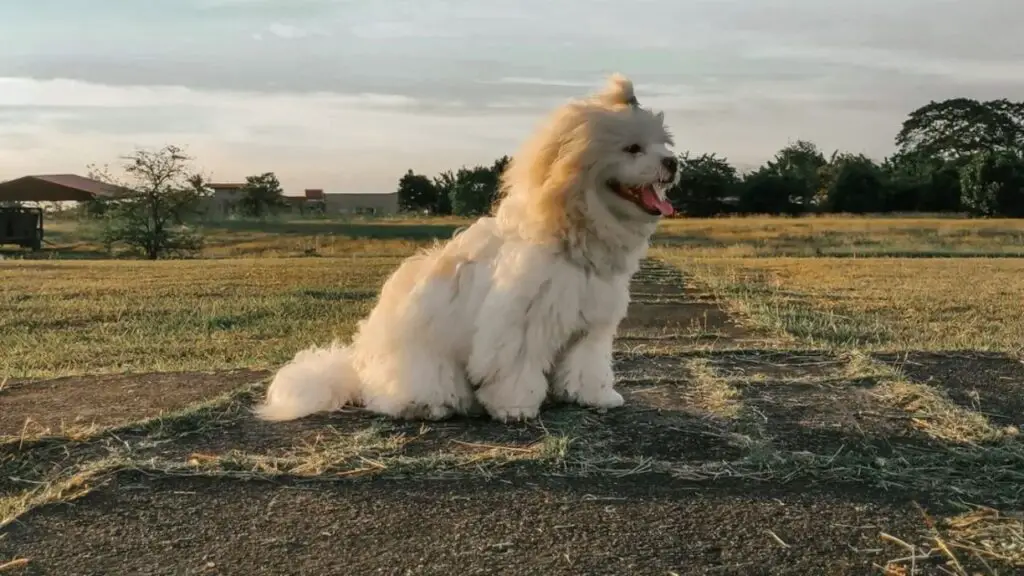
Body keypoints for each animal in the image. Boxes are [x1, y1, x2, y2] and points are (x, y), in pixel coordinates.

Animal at [253, 72, 679, 422]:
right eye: (633, 148)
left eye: (663, 145)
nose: (673, 163)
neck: (569, 232)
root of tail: (358, 370)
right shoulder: (519, 324)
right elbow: (515, 368)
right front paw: (515, 408)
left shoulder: (591, 328)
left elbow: (587, 366)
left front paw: (596, 397)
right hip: (426, 369)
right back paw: (431, 406)